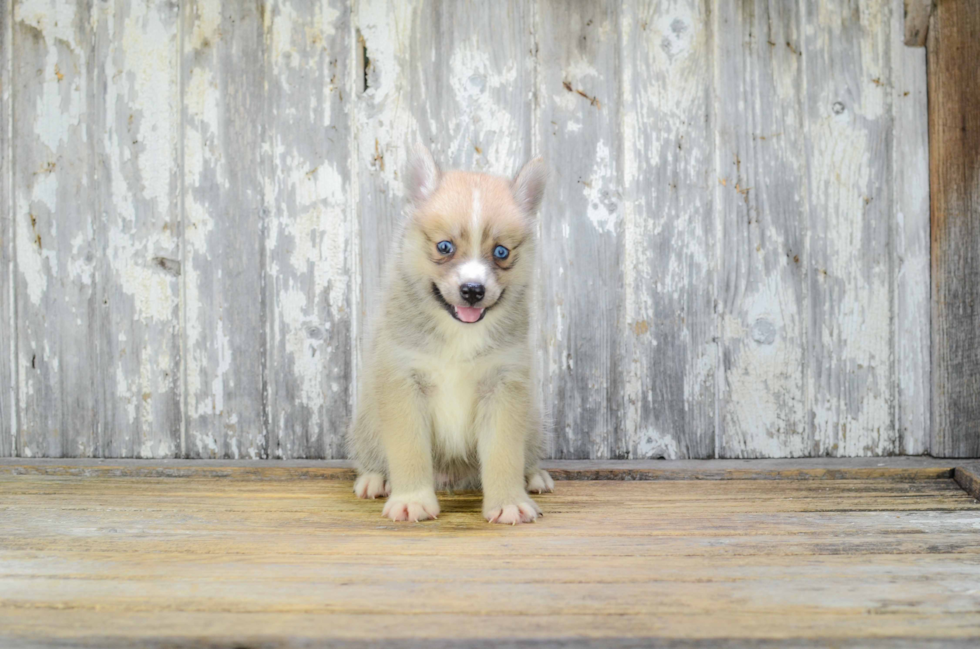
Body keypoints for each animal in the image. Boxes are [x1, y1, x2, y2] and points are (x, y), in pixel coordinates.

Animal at [350, 144, 552, 524]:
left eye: (501, 252)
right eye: (444, 247)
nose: (472, 290)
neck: (459, 333)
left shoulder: (503, 388)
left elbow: (504, 454)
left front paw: (508, 502)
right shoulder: (403, 385)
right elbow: (409, 451)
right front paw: (412, 500)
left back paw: (534, 476)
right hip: (367, 419)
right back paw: (375, 479)